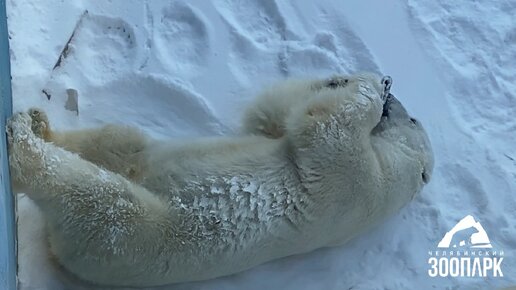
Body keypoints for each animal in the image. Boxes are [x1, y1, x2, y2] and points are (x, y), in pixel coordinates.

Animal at [9, 73, 432, 286]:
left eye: (413, 120)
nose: (397, 103)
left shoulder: (356, 186)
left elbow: (324, 130)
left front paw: (372, 88)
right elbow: (269, 120)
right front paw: (340, 78)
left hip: (129, 238)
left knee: (101, 197)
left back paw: (23, 147)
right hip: (140, 160)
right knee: (120, 142)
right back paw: (41, 124)